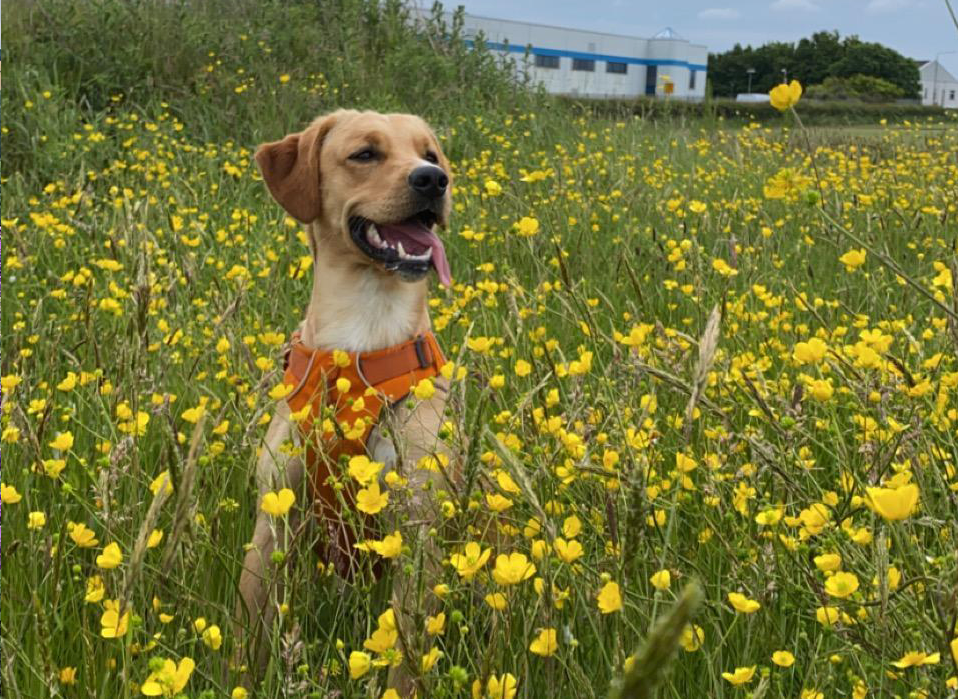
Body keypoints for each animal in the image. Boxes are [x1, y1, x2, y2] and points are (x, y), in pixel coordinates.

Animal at [234, 109, 456, 696]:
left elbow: (404, 657)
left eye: (430, 154)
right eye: (365, 154)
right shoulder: (274, 520)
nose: (433, 180)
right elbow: (248, 633)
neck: (362, 333)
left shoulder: (417, 533)